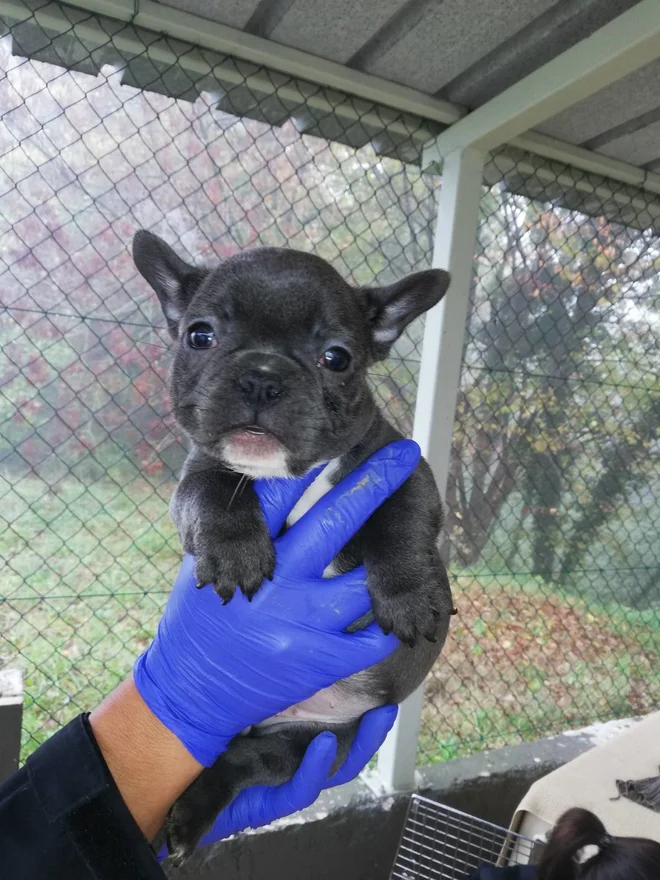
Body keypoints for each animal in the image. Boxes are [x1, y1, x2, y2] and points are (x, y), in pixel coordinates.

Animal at [133, 230, 454, 864]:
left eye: (337, 357)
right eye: (199, 335)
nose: (261, 376)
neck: (288, 475)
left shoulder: (403, 467)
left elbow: (403, 520)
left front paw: (409, 594)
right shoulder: (198, 472)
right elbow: (212, 492)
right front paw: (235, 550)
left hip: (316, 743)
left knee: (247, 762)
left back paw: (192, 819)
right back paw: (187, 824)